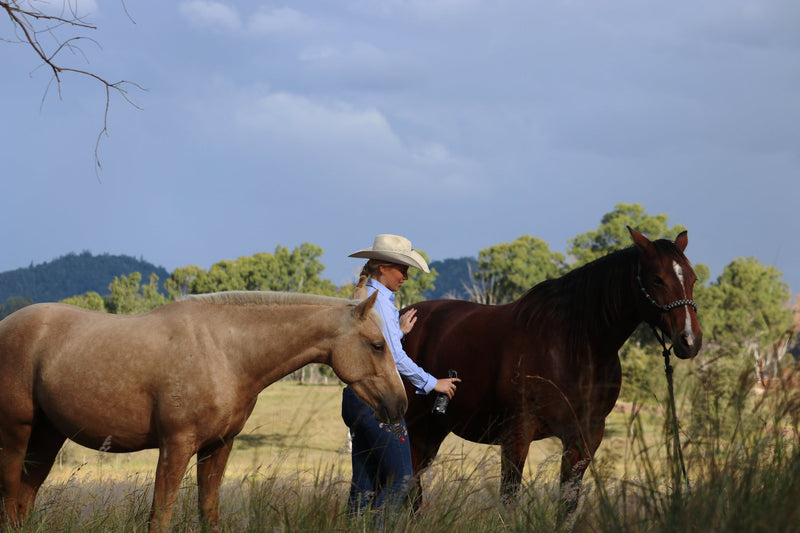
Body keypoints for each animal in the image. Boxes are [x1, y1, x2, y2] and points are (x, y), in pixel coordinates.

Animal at [0, 290, 406, 532]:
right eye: (377, 344)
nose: (399, 404)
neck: (224, 352)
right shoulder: (176, 446)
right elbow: (160, 517)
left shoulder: (218, 446)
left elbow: (208, 511)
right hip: (16, 433)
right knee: (10, 496)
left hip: (47, 435)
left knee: (24, 499)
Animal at [401, 227, 702, 513]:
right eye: (657, 279)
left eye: (693, 279)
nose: (690, 340)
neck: (573, 348)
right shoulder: (517, 436)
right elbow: (509, 501)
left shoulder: (584, 438)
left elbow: (567, 504)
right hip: (415, 428)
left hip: (434, 430)